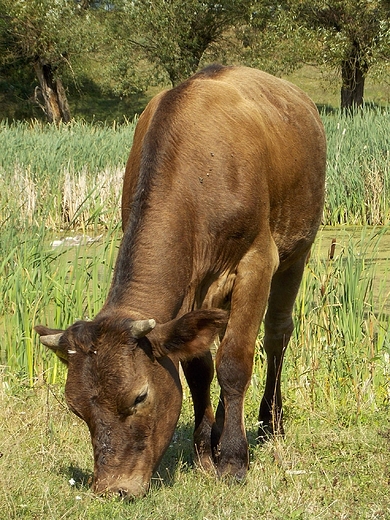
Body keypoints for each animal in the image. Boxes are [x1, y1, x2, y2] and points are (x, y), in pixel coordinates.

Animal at [35, 65, 326, 500]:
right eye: (75, 407)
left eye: (140, 396)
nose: (113, 488)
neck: (199, 175)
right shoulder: (190, 289)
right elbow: (198, 369)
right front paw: (205, 453)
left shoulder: (258, 260)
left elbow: (234, 362)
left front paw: (233, 460)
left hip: (298, 249)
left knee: (276, 335)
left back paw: (269, 423)